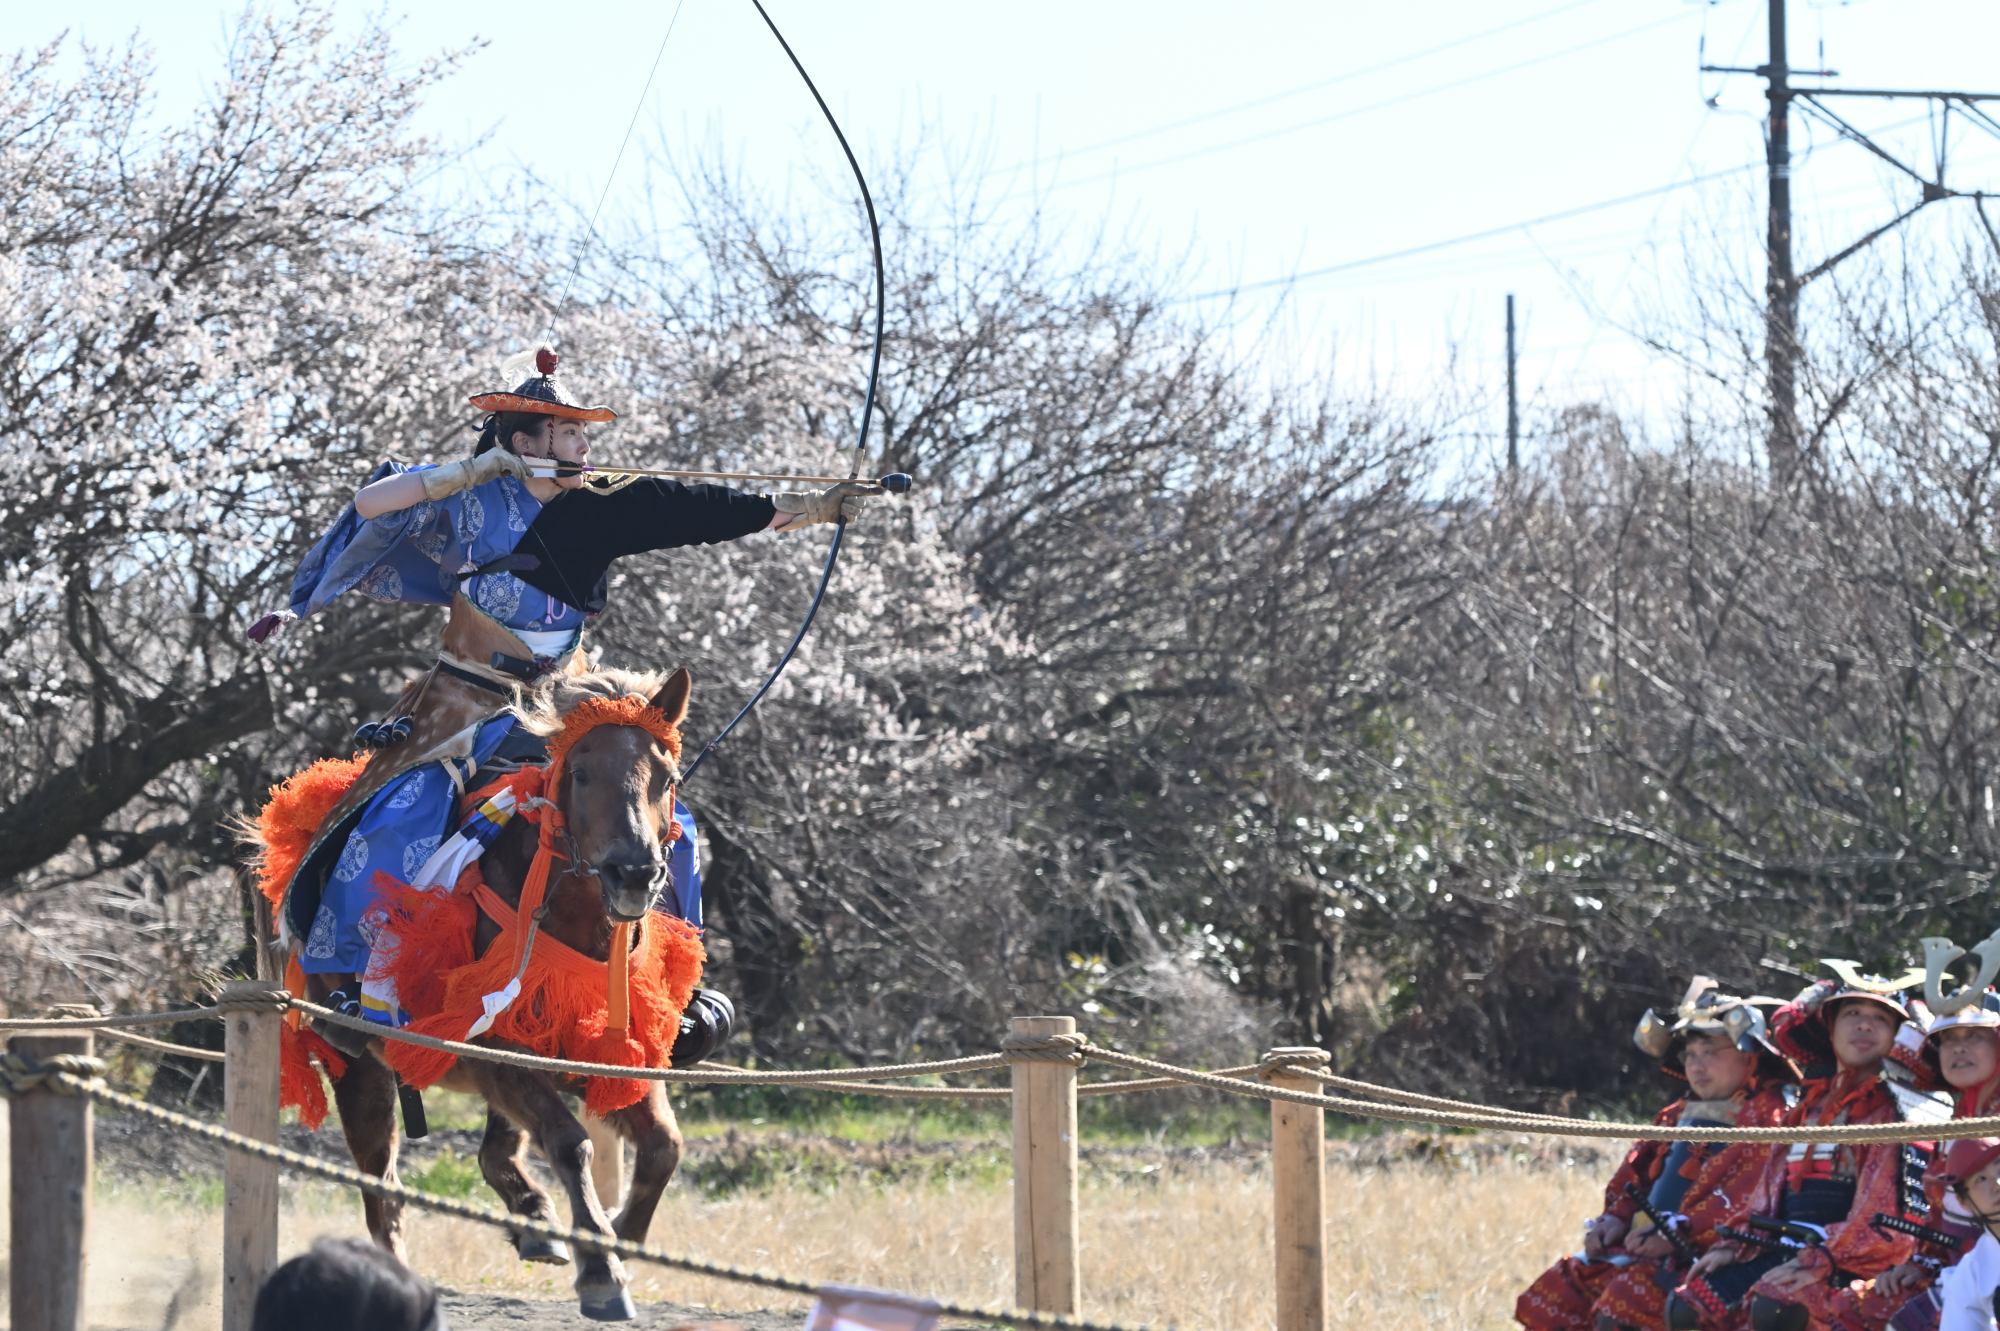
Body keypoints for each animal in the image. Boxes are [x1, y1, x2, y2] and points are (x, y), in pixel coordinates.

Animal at [319, 665, 698, 1323]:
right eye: (580, 773)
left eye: (667, 778)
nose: (633, 873)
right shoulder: (493, 1054)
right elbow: (571, 1143)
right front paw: (601, 1269)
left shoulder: (608, 1056)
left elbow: (663, 1147)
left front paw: (621, 1235)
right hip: (358, 1066)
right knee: (382, 1191)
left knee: (494, 1153)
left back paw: (536, 1221)